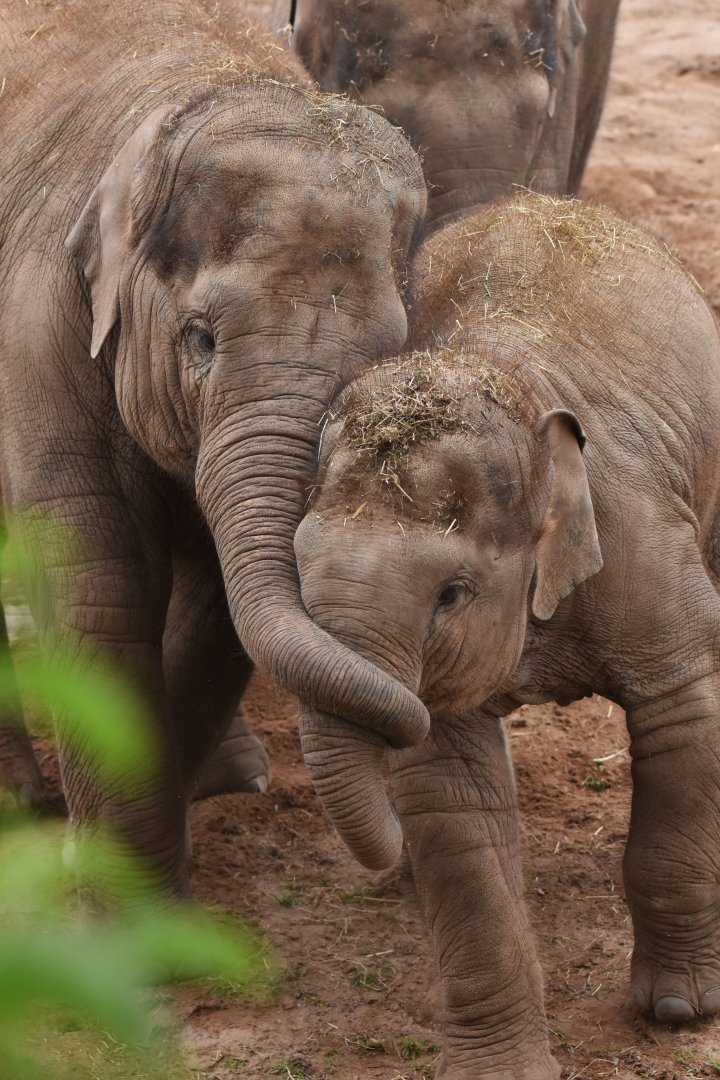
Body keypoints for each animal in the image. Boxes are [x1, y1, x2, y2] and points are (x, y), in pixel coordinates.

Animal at [0, 0, 430, 894]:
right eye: (200, 338)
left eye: (384, 355)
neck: (209, 79)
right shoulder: (36, 322)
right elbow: (97, 589)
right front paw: (110, 899)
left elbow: (217, 616)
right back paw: (21, 799)